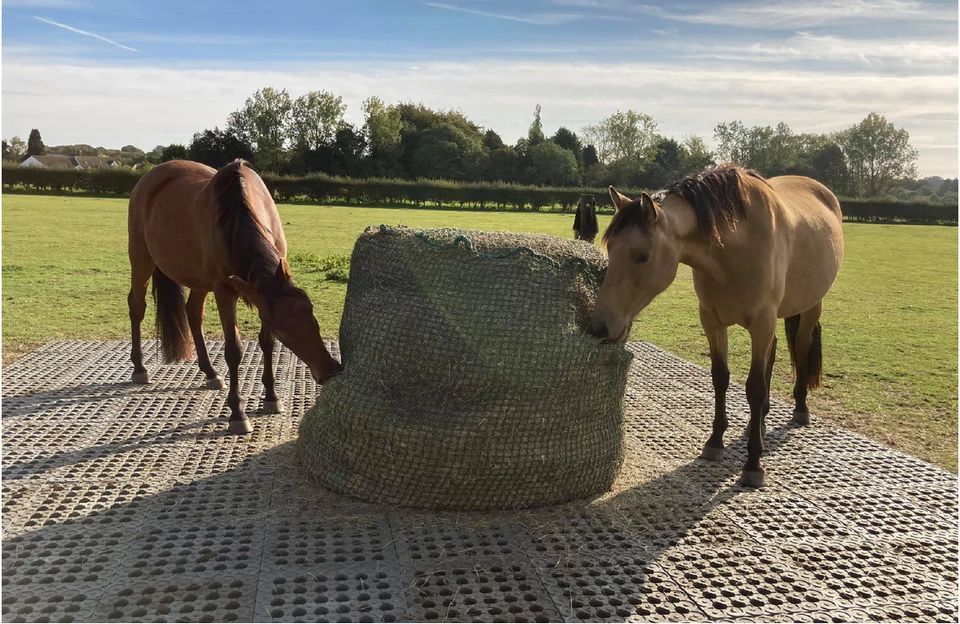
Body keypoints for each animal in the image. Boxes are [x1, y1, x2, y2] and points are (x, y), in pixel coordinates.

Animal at [125, 160, 340, 434]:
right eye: (284, 332)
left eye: (312, 315)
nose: (330, 369)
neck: (236, 215)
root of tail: (149, 178)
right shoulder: (224, 291)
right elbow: (233, 351)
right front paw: (238, 413)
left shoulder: (259, 299)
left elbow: (265, 342)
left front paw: (271, 396)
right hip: (141, 258)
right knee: (137, 306)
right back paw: (139, 368)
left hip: (199, 280)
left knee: (193, 312)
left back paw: (210, 372)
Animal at [588, 166, 844, 488]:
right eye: (610, 248)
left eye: (641, 255)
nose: (599, 327)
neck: (735, 246)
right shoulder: (711, 320)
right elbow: (720, 378)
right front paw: (715, 441)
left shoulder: (762, 322)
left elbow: (755, 388)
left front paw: (753, 463)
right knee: (773, 355)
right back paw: (759, 421)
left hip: (810, 307)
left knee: (801, 347)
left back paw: (799, 408)